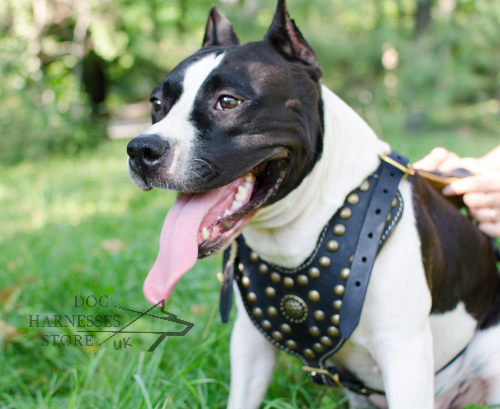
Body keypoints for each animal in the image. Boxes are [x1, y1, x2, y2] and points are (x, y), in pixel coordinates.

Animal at [128, 1, 500, 406]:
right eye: (156, 104)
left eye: (227, 101)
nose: (141, 149)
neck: (299, 228)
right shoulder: (250, 345)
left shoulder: (404, 353)